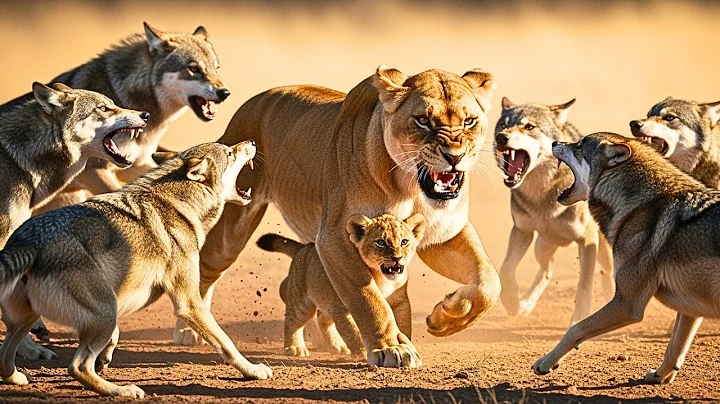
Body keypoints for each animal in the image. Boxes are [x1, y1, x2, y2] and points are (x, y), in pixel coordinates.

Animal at [0, 141, 270, 398]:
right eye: (230, 153)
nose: (252, 142)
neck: (178, 204)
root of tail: (28, 241)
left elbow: (116, 336)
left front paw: (105, 358)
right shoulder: (189, 302)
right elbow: (226, 343)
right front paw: (253, 370)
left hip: (35, 318)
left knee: (5, 357)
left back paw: (20, 378)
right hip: (104, 312)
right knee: (77, 367)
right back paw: (123, 391)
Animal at [257, 213, 426, 357]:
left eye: (404, 242)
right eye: (380, 242)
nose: (397, 258)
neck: (383, 278)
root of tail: (304, 247)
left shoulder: (400, 302)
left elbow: (403, 325)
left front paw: (404, 345)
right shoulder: (343, 308)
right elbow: (353, 332)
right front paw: (364, 352)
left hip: (328, 305)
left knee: (322, 318)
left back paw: (336, 345)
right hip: (303, 304)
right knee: (292, 321)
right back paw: (294, 347)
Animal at [494, 97, 613, 323]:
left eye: (529, 127)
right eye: (503, 125)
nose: (500, 137)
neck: (542, 196)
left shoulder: (587, 241)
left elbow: (584, 286)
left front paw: (579, 319)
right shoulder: (522, 231)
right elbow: (505, 270)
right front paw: (511, 302)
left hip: (605, 250)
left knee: (609, 273)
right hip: (541, 246)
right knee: (547, 270)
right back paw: (525, 305)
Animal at [533, 132, 720, 384]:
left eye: (580, 145)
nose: (554, 142)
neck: (639, 206)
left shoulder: (628, 303)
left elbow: (575, 329)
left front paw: (546, 362)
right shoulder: (690, 308)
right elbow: (674, 349)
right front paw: (659, 376)